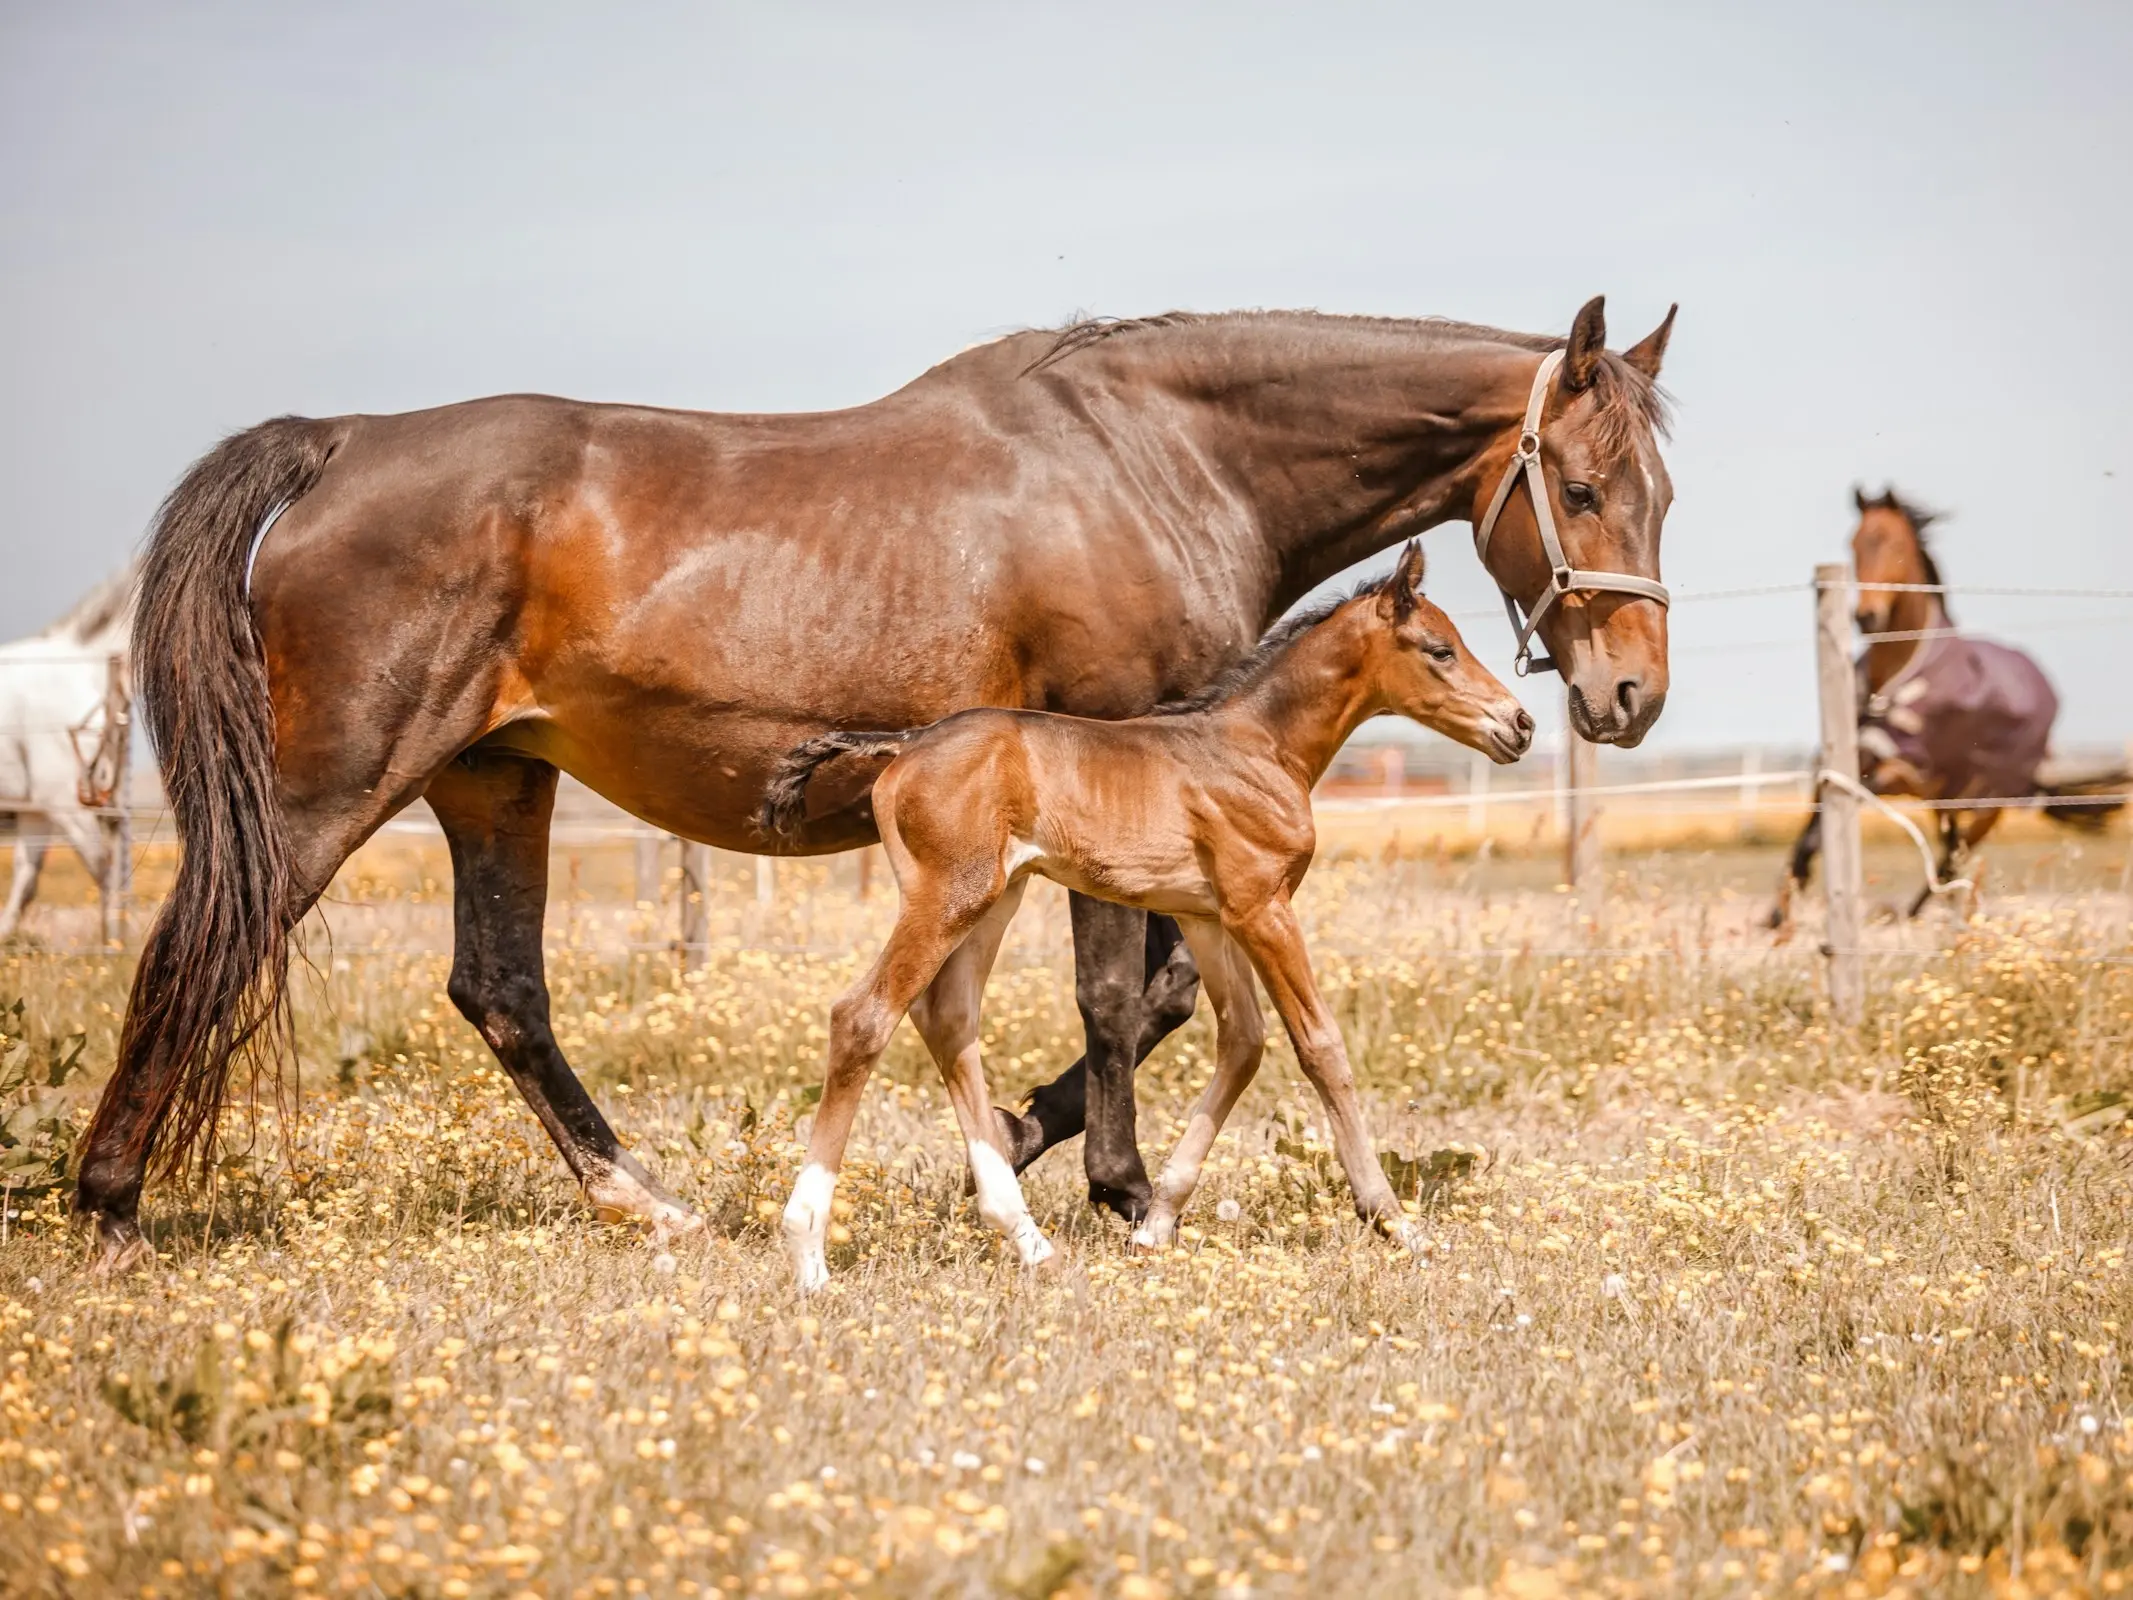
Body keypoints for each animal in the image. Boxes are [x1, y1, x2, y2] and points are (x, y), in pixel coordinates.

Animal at [759, 546, 1527, 1297]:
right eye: (1440, 650)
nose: (1519, 724)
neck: (1257, 746)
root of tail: (907, 745)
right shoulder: (1264, 906)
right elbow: (1319, 1047)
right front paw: (1395, 1223)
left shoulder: (1211, 918)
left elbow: (1242, 1043)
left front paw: (1155, 1225)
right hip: (947, 897)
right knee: (863, 1016)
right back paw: (809, 1255)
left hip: (995, 899)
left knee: (948, 1020)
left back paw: (1030, 1242)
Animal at [1766, 482, 2115, 921]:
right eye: (1854, 543)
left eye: (1894, 542)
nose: (1867, 616)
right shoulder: (1837, 767)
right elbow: (1807, 840)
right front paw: (1775, 916)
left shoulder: (1899, 771)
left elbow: (1826, 829)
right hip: (1947, 802)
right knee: (1950, 854)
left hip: (1989, 802)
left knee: (1953, 858)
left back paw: (1920, 915)